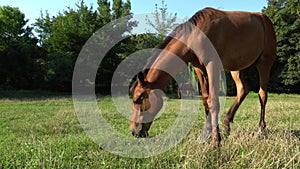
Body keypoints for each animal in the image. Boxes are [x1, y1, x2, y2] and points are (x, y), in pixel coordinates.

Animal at [130, 7, 276, 147]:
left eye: (138, 100)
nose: (134, 131)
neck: (195, 36)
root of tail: (265, 19)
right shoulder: (199, 69)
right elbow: (205, 100)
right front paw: (206, 135)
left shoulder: (212, 65)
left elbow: (213, 102)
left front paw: (216, 142)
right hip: (236, 68)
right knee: (243, 89)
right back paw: (226, 125)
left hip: (264, 63)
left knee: (262, 94)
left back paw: (261, 129)